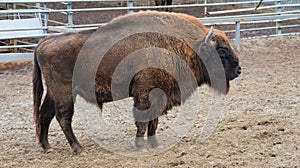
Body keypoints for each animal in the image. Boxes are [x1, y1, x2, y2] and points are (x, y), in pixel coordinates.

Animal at [32, 11, 240, 154]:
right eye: (221, 51)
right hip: (64, 91)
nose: (238, 70)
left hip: (54, 92)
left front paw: (155, 144)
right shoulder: (145, 94)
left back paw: (46, 146)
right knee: (63, 117)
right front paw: (140, 146)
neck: (188, 47)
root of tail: (44, 43)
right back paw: (78, 148)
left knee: (45, 114)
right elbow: (142, 121)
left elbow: (153, 122)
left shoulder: (159, 95)